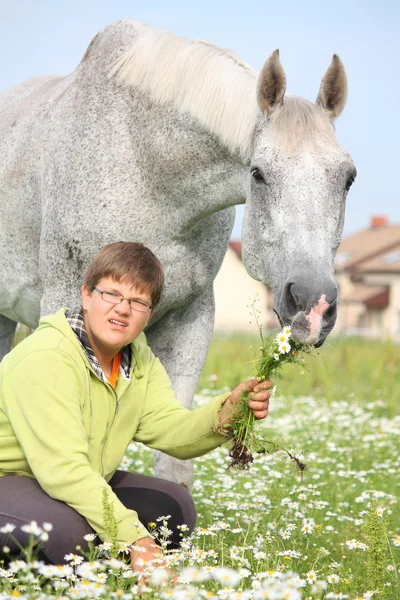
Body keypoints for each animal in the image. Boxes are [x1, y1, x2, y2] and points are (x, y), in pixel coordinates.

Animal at [0, 19, 356, 488]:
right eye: (258, 173)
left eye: (348, 177)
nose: (313, 306)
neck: (144, 163)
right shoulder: (61, 308)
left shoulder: (190, 320)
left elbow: (174, 460)